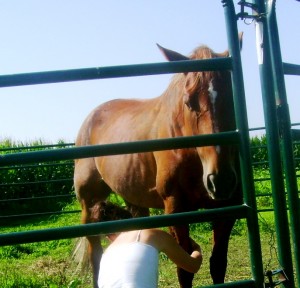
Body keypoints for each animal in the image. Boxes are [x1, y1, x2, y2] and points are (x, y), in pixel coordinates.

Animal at [74, 38, 243, 288]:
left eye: (232, 98)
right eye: (189, 102)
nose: (220, 180)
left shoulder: (226, 210)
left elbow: (218, 263)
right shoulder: (175, 208)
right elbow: (185, 270)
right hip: (89, 203)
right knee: (95, 253)